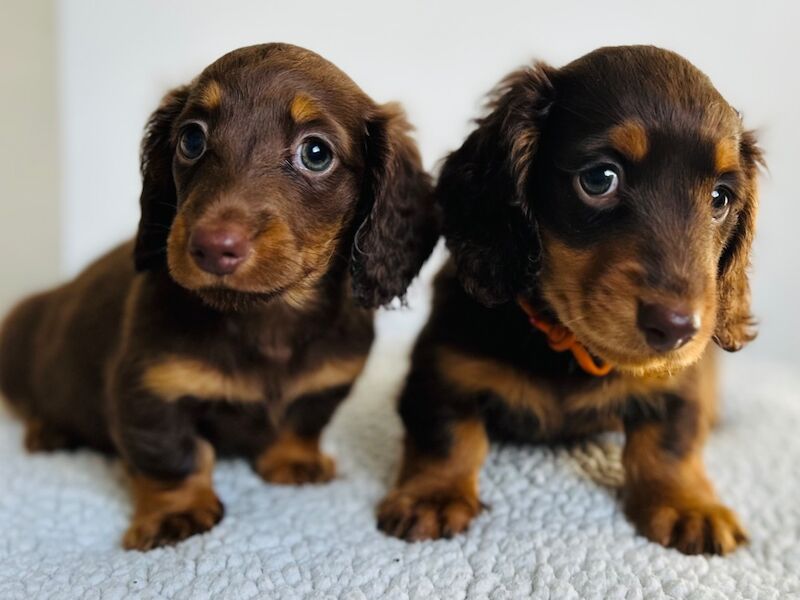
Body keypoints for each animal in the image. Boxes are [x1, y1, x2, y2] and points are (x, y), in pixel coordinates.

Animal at [1, 42, 438, 548]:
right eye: (191, 139)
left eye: (316, 152)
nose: (212, 247)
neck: (266, 318)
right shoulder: (148, 391)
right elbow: (174, 455)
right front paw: (177, 512)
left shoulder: (331, 379)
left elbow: (302, 420)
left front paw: (294, 460)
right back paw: (48, 432)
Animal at [376, 44, 764, 556]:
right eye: (599, 179)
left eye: (720, 198)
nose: (678, 328)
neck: (564, 345)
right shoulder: (441, 367)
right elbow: (447, 432)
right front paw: (434, 495)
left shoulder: (680, 383)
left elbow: (672, 441)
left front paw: (688, 505)